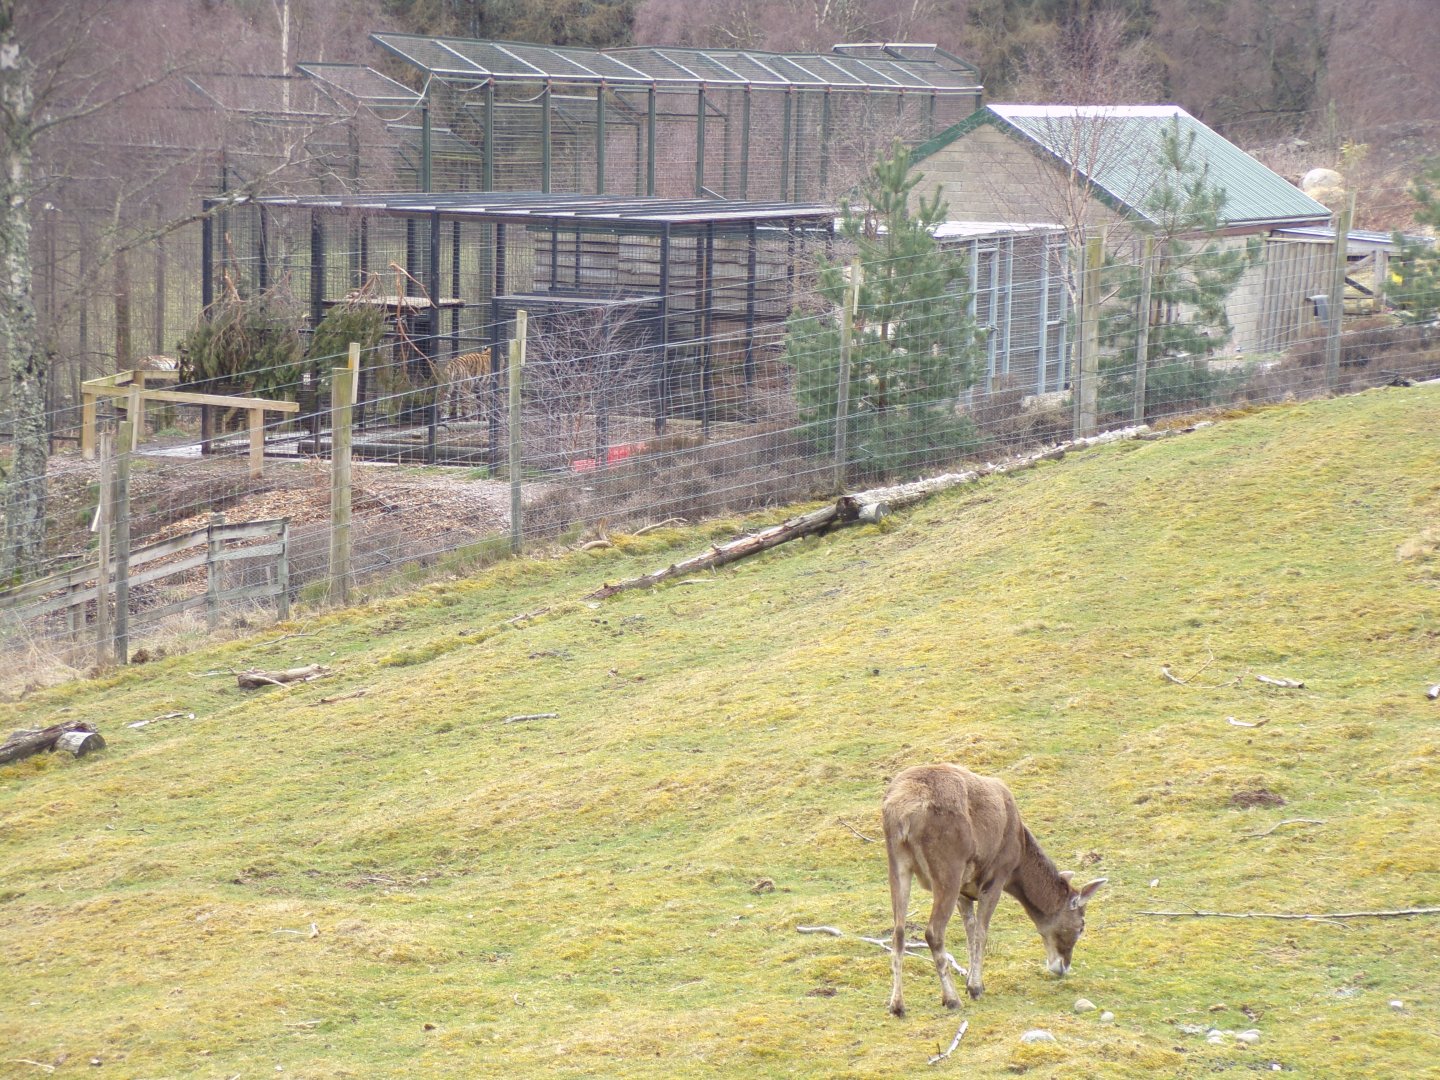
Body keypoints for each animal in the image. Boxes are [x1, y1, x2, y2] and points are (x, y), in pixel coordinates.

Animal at [881, 763, 1106, 1016]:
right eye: (1081, 926)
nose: (1063, 967)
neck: (1018, 861)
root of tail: (903, 810)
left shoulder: (964, 891)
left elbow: (970, 931)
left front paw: (971, 980)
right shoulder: (996, 877)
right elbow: (981, 932)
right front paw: (975, 988)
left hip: (897, 863)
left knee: (898, 931)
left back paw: (897, 1005)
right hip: (948, 867)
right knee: (933, 932)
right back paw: (951, 999)